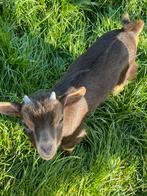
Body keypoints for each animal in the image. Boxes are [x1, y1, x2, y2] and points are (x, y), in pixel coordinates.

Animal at [0, 14, 144, 161]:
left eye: (60, 119)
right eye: (26, 124)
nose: (47, 150)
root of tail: (129, 30)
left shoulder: (77, 132)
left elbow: (69, 145)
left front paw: (67, 156)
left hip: (128, 67)